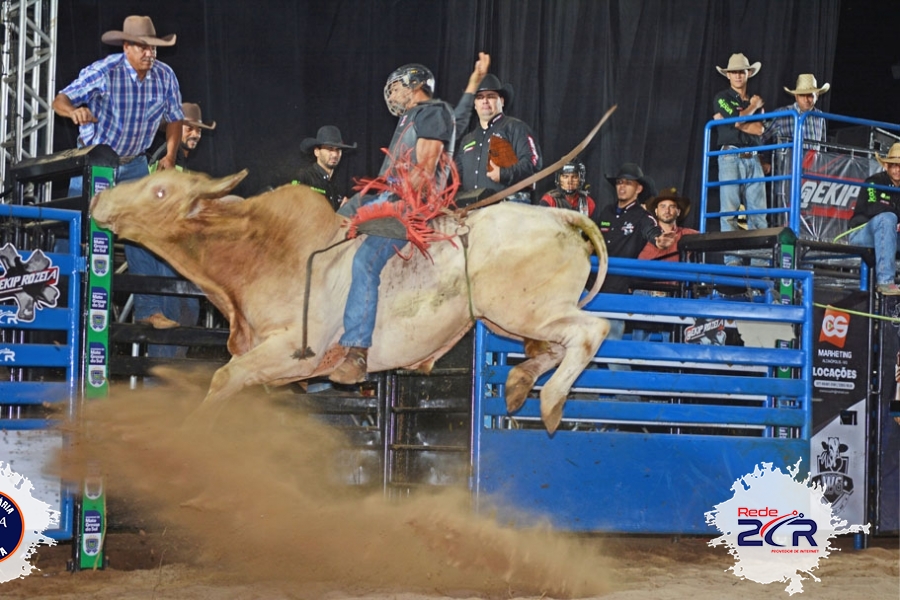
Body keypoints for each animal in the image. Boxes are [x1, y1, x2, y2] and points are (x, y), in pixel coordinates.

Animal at [89, 169, 612, 432]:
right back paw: (520, 385)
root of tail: (561, 218)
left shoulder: (294, 352)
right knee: (553, 348)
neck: (269, 253)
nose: (99, 201)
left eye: (160, 190)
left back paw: (550, 402)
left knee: (592, 330)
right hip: (513, 319)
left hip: (523, 311)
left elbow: (225, 377)